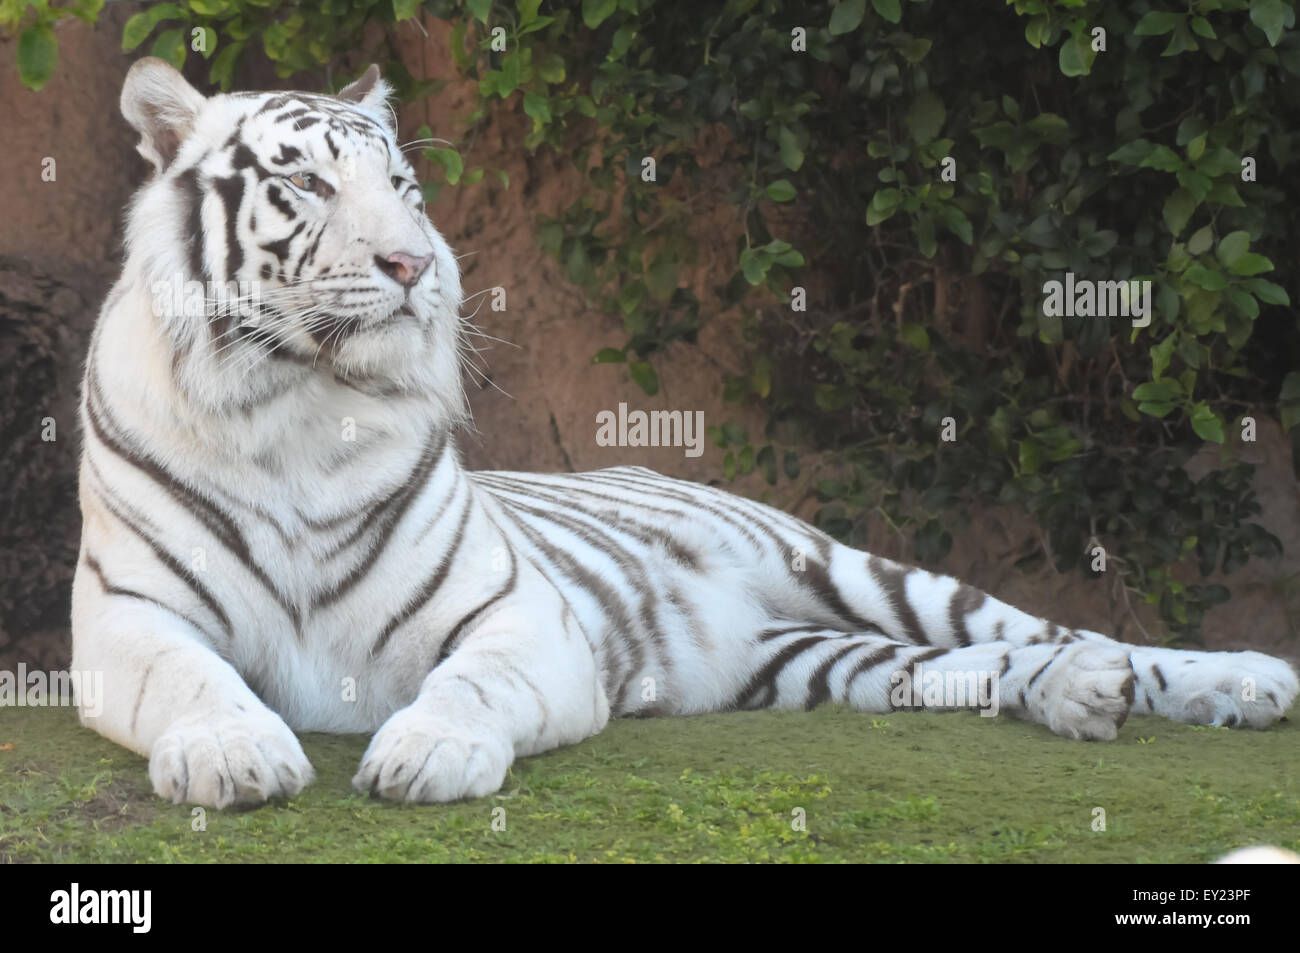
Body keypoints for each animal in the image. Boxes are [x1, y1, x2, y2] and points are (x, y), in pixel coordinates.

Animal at [71, 58, 1298, 808]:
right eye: (310, 183)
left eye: (406, 185)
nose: (414, 263)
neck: (302, 409)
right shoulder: (127, 620)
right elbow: (192, 679)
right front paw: (233, 751)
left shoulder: (519, 618)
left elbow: (469, 684)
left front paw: (430, 751)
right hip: (806, 662)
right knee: (970, 666)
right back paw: (1082, 694)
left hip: (858, 571)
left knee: (1042, 626)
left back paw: (1230, 679)